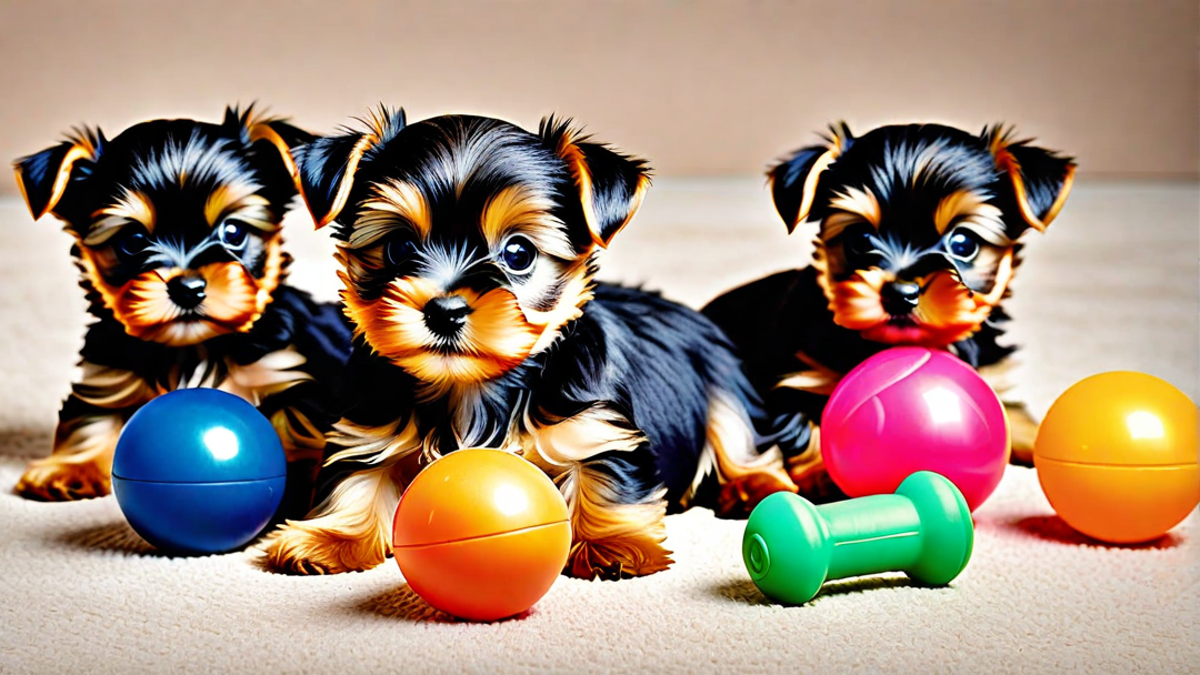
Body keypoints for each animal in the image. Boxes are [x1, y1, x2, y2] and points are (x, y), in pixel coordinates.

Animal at [14, 106, 350, 514]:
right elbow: (90, 413)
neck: (192, 347)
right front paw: (69, 468)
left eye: (233, 232)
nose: (187, 288)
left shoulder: (288, 370)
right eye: (132, 241)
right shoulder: (108, 371)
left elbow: (296, 419)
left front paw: (299, 475)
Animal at [262, 107, 792, 576]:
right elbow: (356, 477)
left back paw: (755, 486)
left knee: (742, 436)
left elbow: (606, 476)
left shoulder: (597, 427)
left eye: (518, 253)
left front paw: (611, 545)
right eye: (398, 247)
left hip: (720, 375)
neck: (472, 391)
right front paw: (329, 539)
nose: (445, 310)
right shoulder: (370, 427)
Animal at [700, 120, 1075, 492]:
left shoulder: (990, 376)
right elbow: (798, 426)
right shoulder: (783, 378)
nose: (901, 293)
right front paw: (822, 474)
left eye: (963, 242)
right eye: (859, 239)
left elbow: (1016, 418)